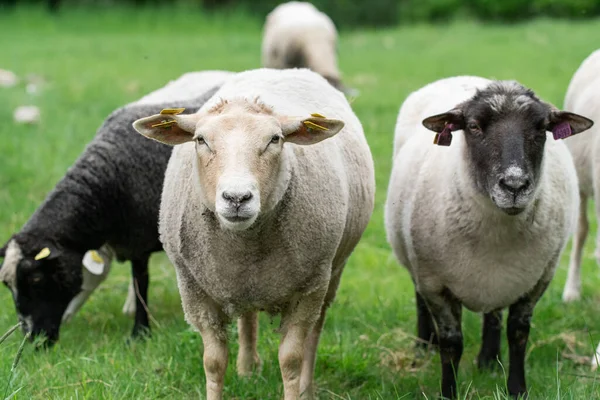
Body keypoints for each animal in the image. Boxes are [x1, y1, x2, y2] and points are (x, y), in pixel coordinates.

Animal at [0, 86, 220, 346]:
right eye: (7, 285)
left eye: (36, 279)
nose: (33, 340)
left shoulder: (139, 243)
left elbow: (140, 283)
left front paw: (139, 334)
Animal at [135, 69, 376, 400]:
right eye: (200, 140)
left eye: (275, 139)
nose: (237, 198)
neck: (245, 243)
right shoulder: (195, 291)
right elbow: (213, 362)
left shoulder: (308, 290)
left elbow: (291, 359)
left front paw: (295, 390)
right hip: (241, 282)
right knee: (248, 317)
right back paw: (248, 370)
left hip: (331, 272)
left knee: (315, 332)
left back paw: (306, 387)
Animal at [386, 76, 592, 398]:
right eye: (473, 126)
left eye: (541, 128)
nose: (515, 185)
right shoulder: (435, 283)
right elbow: (451, 344)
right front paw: (448, 392)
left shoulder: (537, 280)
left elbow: (518, 333)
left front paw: (517, 389)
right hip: (412, 255)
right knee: (419, 297)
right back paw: (423, 347)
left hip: (500, 278)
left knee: (493, 315)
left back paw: (489, 361)